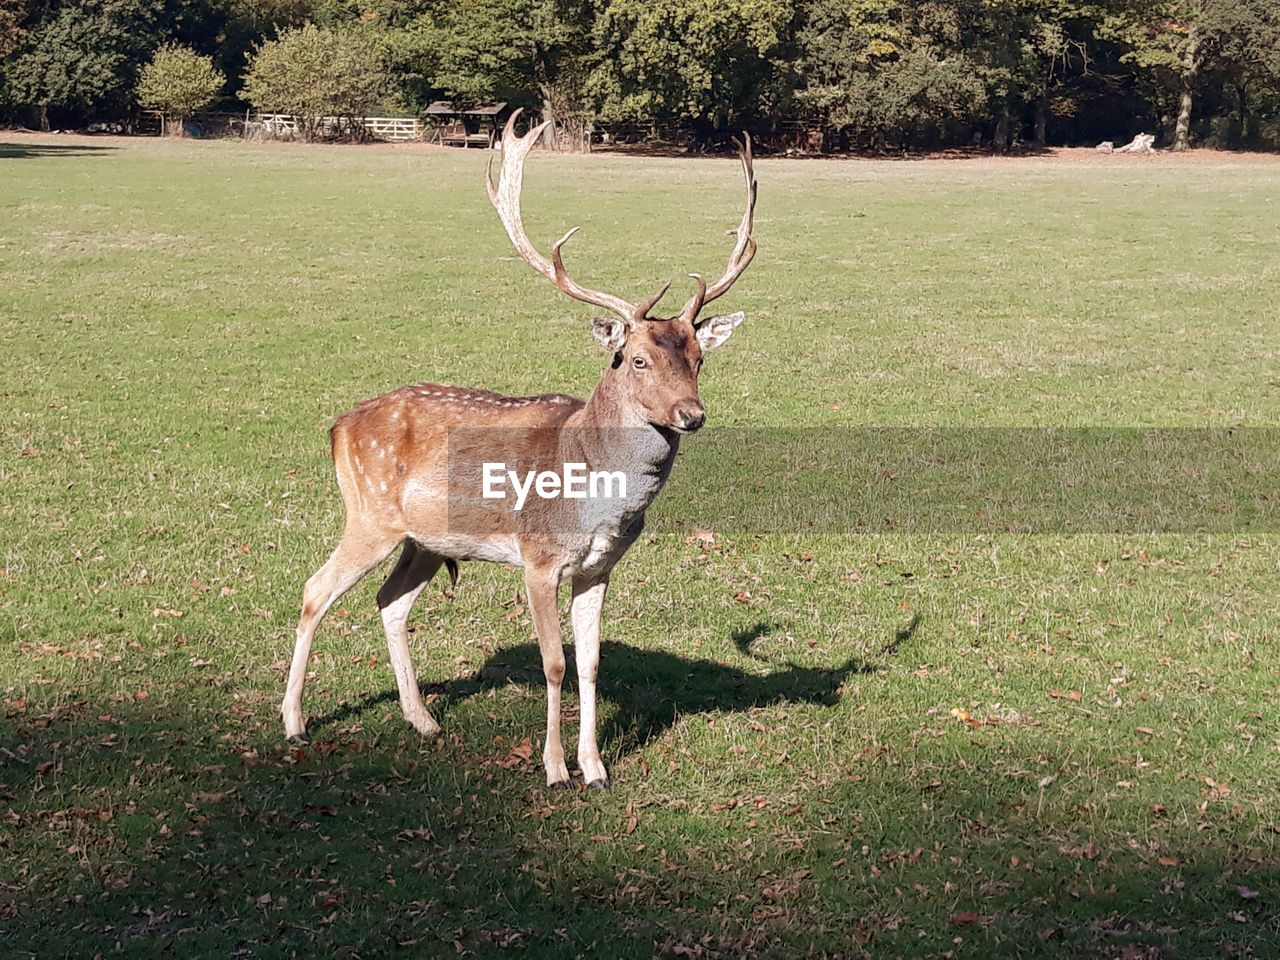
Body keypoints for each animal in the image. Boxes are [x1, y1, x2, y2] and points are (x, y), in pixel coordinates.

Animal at [280, 110, 752, 788]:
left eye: (698, 357)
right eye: (636, 358)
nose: (692, 415)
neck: (597, 497)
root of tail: (338, 426)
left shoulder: (600, 566)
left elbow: (590, 664)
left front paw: (596, 766)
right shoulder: (538, 557)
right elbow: (554, 664)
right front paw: (556, 768)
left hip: (424, 540)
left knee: (389, 602)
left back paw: (422, 720)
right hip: (369, 514)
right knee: (315, 591)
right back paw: (294, 721)